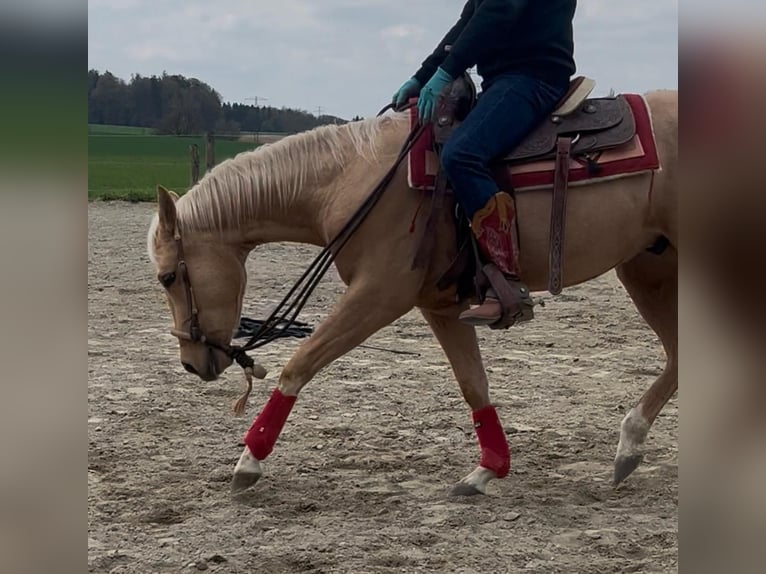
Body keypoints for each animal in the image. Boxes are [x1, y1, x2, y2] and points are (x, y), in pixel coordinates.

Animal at [147, 88, 677, 496]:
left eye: (168, 277)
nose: (190, 363)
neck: (351, 179)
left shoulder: (379, 295)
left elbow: (300, 363)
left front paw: (249, 461)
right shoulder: (440, 307)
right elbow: (473, 384)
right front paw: (487, 469)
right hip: (648, 271)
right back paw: (629, 447)